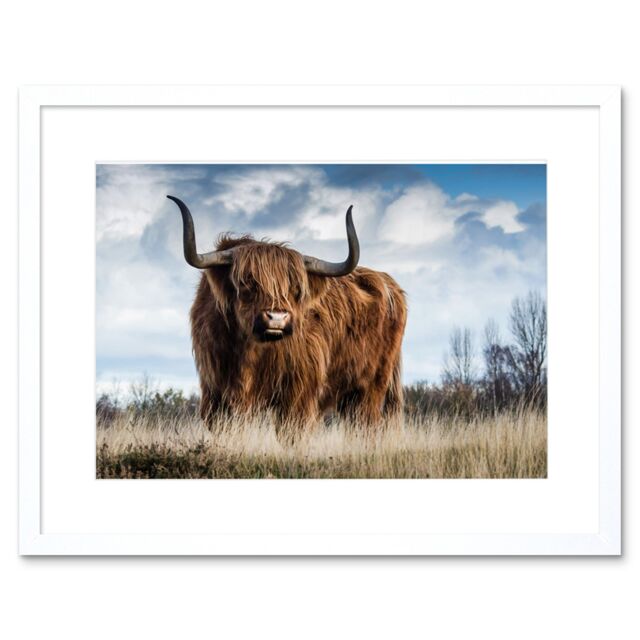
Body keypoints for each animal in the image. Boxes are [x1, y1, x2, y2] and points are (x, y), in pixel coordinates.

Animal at [167, 195, 407, 435]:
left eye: (296, 288)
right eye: (247, 282)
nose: (277, 318)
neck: (249, 351)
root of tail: (389, 283)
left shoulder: (298, 394)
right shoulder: (215, 392)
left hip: (370, 388)